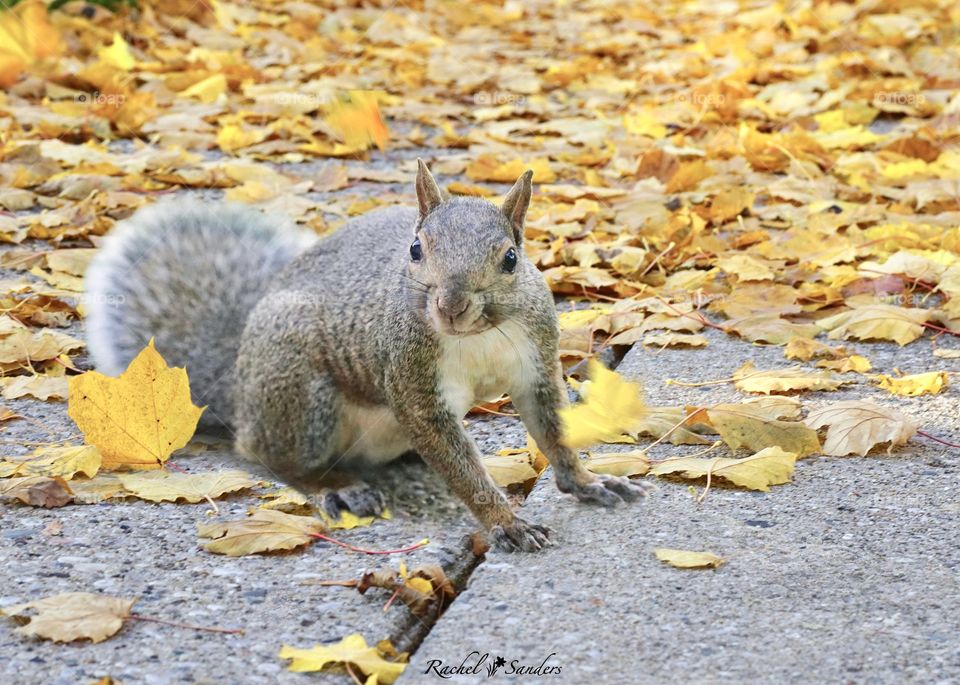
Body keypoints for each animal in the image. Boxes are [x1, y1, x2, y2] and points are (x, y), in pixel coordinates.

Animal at [84, 160, 647, 552]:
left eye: (511, 258)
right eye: (415, 250)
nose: (451, 306)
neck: (477, 337)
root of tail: (239, 390)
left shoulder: (536, 362)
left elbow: (553, 432)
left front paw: (589, 482)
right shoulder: (412, 380)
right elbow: (461, 467)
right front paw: (507, 522)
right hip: (299, 390)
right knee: (271, 454)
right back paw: (336, 487)